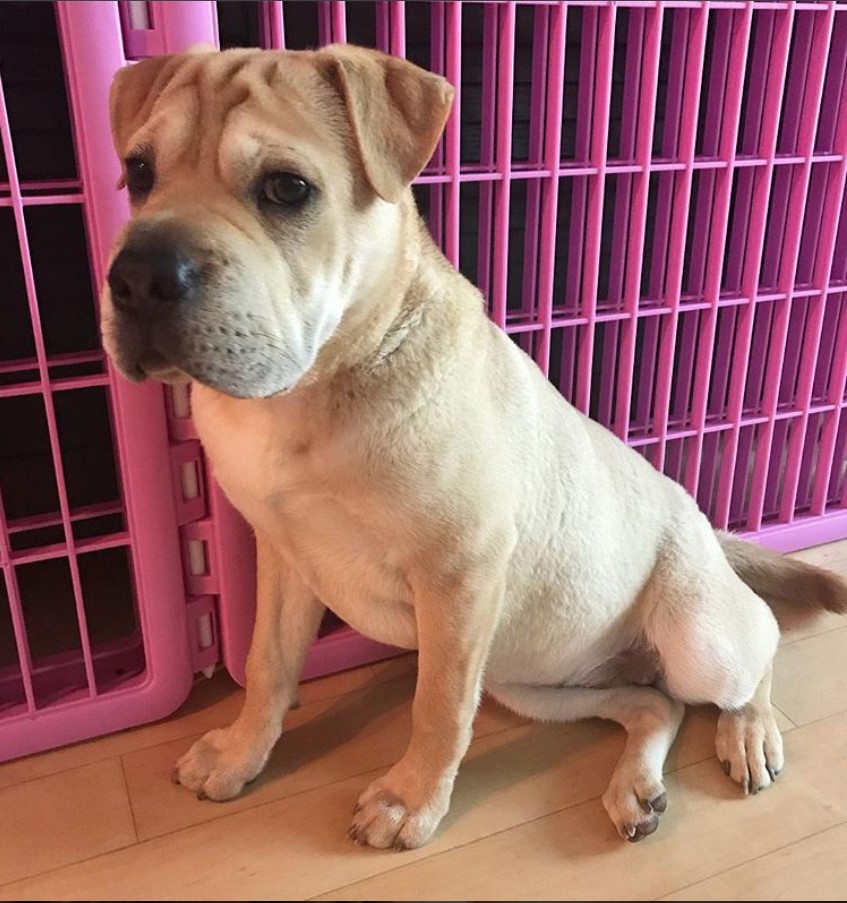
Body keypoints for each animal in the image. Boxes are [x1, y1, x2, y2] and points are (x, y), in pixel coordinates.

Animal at [101, 42, 847, 848]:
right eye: (138, 172)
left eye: (287, 188)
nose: (137, 277)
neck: (311, 392)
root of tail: (708, 528)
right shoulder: (283, 557)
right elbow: (267, 665)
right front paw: (239, 754)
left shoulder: (458, 579)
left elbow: (437, 707)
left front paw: (407, 802)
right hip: (531, 681)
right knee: (655, 704)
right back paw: (636, 789)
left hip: (697, 636)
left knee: (754, 646)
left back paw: (749, 731)